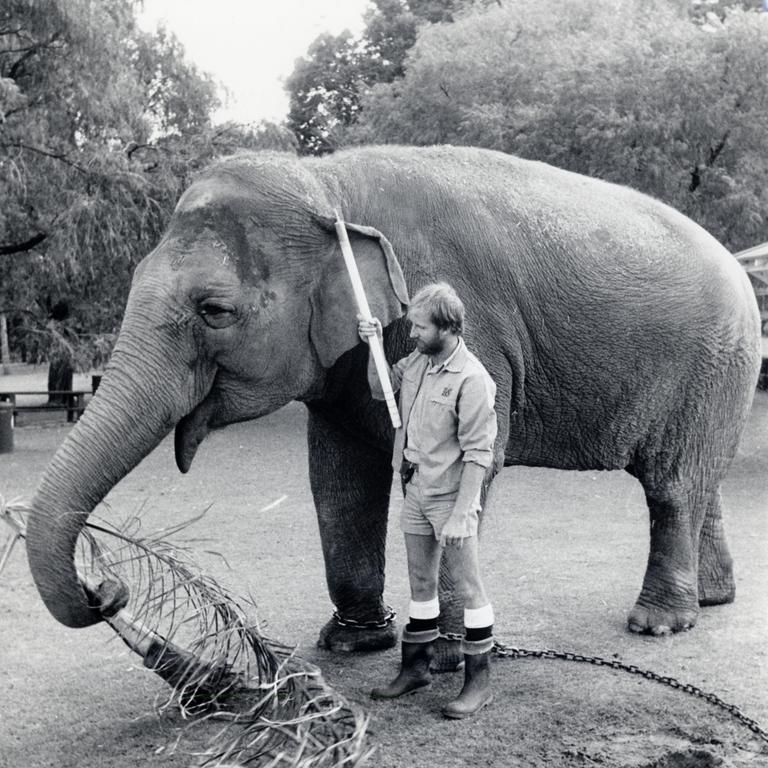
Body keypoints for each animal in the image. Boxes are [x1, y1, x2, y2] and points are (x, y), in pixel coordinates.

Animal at [25, 142, 760, 656]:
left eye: (213, 310)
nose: (108, 589)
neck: (330, 184)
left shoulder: (473, 327)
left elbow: (462, 463)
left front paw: (447, 646)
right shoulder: (340, 369)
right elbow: (338, 476)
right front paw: (353, 641)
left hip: (715, 361)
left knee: (672, 485)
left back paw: (656, 624)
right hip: (717, 376)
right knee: (698, 483)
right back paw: (712, 601)